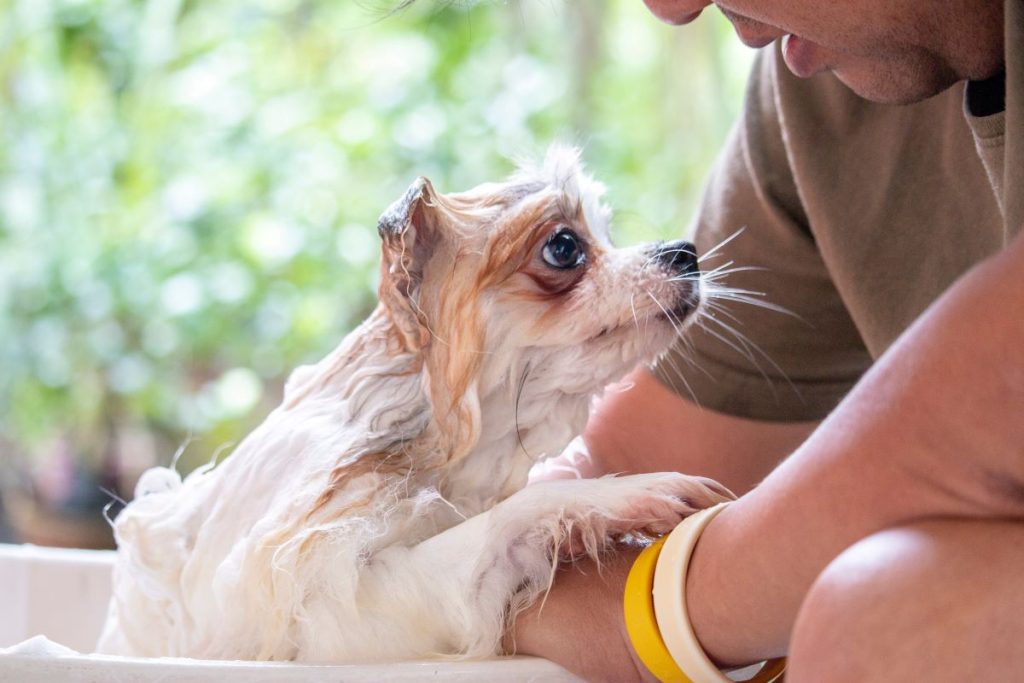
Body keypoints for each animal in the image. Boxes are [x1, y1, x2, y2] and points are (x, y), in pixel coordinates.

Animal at [96, 148, 733, 663]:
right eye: (564, 247)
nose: (685, 251)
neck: (438, 462)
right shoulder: (332, 608)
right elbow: (512, 513)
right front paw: (626, 494)